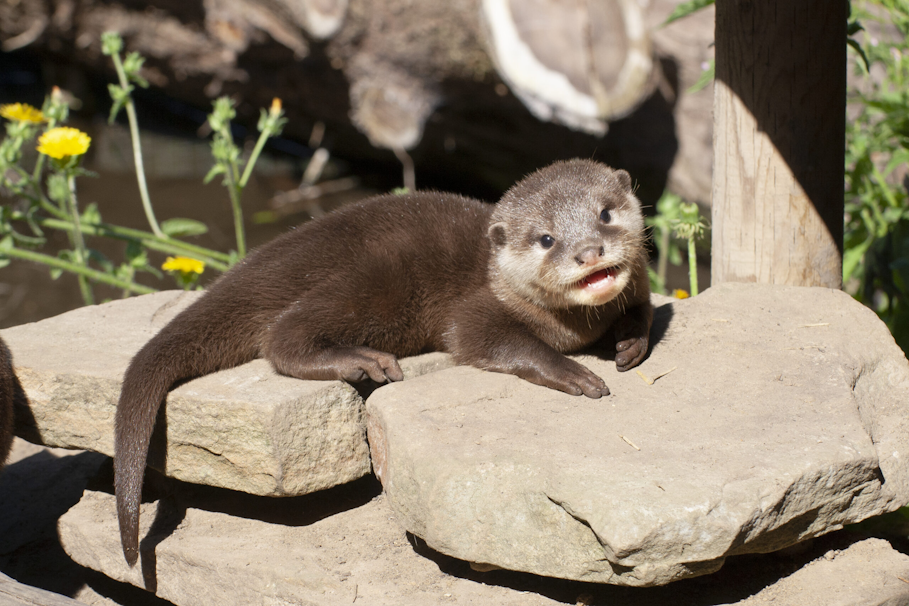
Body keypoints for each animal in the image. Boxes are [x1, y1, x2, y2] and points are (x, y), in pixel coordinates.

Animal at [114, 159, 653, 565]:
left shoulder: (640, 284)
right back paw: (361, 362)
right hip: (377, 279)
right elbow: (491, 341)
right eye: (546, 240)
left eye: (605, 214)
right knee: (281, 335)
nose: (589, 251)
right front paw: (574, 372)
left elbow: (644, 308)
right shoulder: (476, 311)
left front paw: (630, 343)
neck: (576, 324)